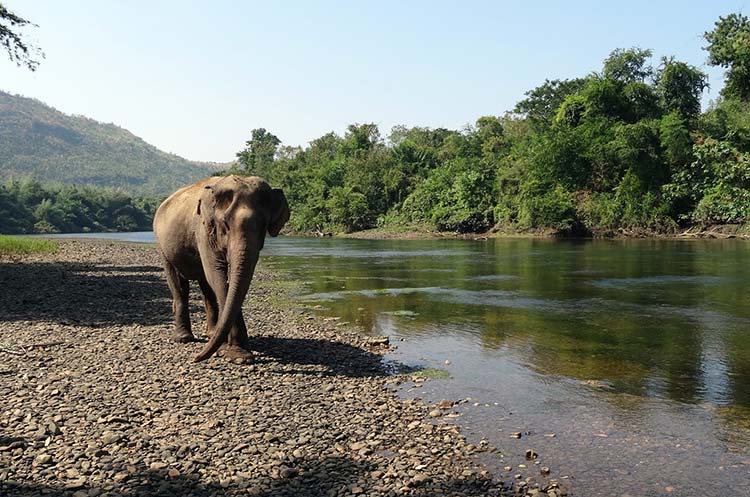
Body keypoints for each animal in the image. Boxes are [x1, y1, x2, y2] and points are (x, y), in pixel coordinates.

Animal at [153, 174, 290, 360]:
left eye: (263, 225)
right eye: (225, 223)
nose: (196, 357)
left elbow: (224, 280)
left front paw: (237, 353)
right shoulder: (203, 230)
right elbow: (217, 275)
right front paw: (238, 356)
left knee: (205, 286)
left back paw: (211, 333)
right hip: (162, 245)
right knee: (178, 283)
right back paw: (184, 338)